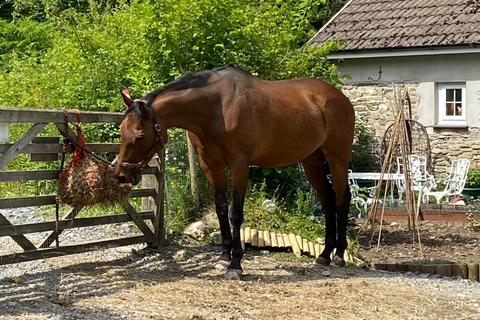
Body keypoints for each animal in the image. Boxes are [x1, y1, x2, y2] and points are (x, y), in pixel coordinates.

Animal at [115, 65, 356, 278]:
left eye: (139, 135)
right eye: (121, 130)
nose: (121, 175)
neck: (217, 108)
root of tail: (340, 97)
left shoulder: (239, 165)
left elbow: (235, 214)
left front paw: (236, 264)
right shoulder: (211, 165)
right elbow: (221, 208)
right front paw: (224, 257)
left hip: (338, 158)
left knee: (342, 199)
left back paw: (339, 256)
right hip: (311, 161)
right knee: (328, 201)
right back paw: (324, 254)